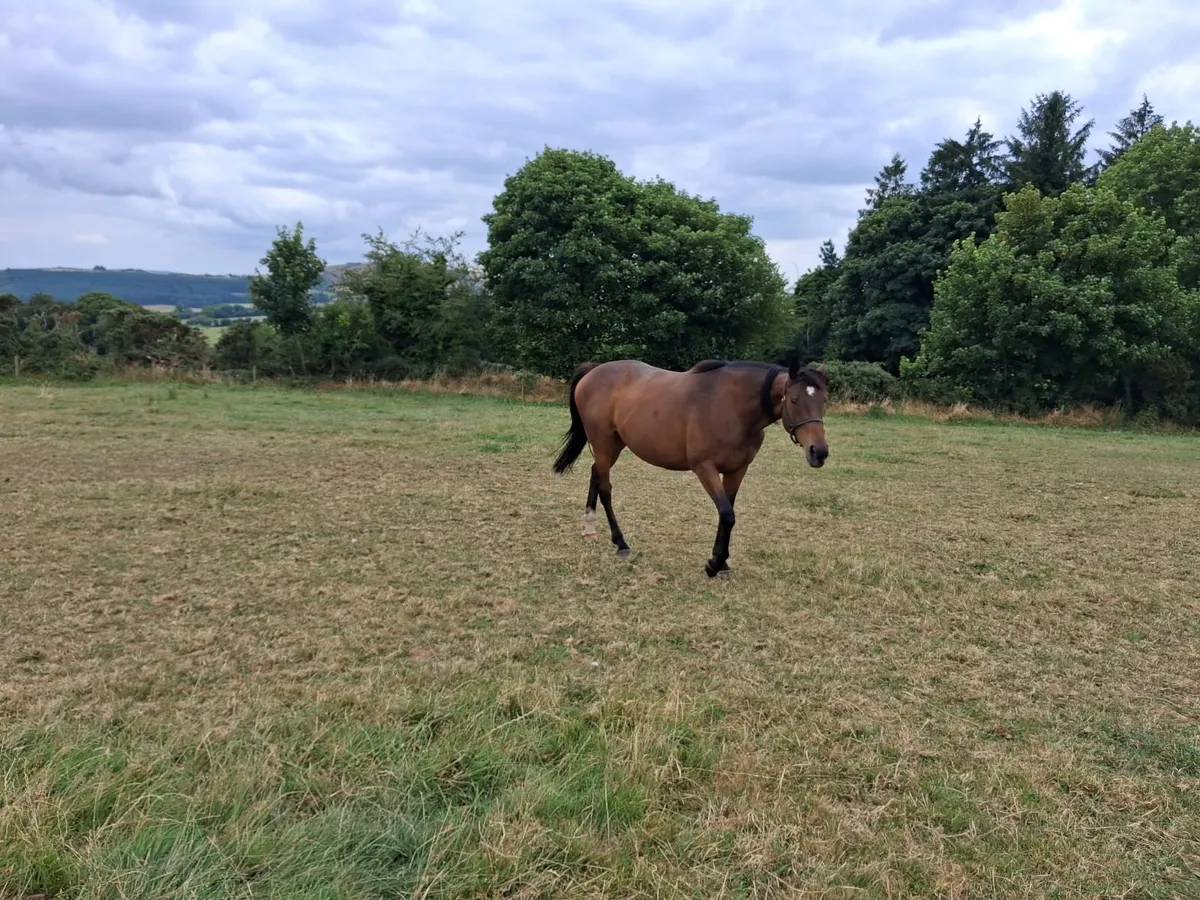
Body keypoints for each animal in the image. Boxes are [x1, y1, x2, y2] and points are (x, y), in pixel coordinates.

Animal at [551, 358, 829, 578]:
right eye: (793, 399)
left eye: (824, 401)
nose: (819, 452)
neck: (732, 406)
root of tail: (594, 370)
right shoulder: (704, 467)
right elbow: (727, 514)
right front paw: (714, 564)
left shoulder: (736, 470)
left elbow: (728, 513)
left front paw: (722, 563)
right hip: (603, 443)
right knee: (606, 488)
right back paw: (621, 543)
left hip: (614, 445)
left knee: (595, 475)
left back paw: (589, 529)